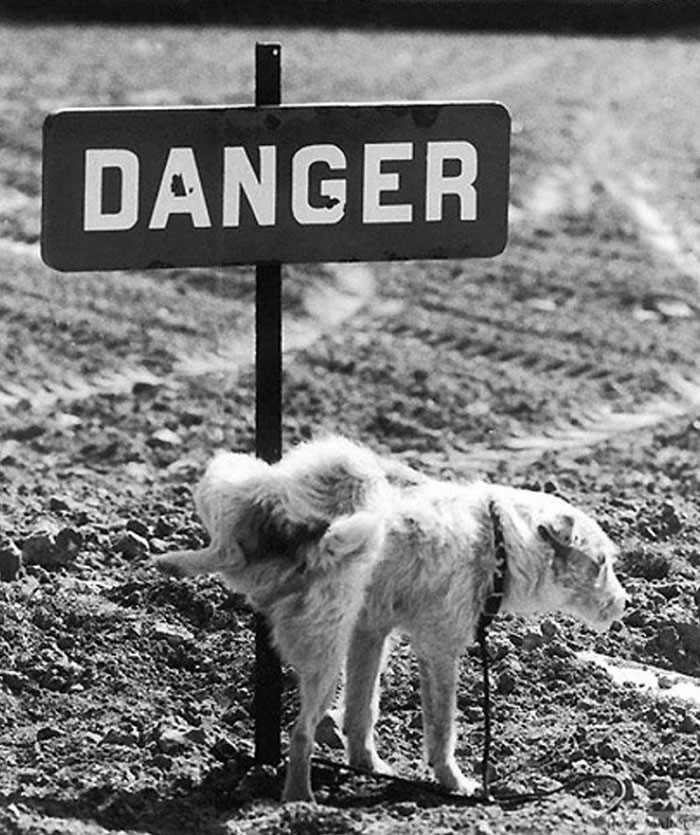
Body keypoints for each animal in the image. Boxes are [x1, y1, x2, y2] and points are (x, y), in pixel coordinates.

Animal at [154, 434, 628, 800]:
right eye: (601, 563)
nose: (624, 606)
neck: (500, 543)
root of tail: (300, 545)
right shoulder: (439, 649)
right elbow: (442, 727)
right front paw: (454, 783)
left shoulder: (370, 633)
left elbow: (361, 710)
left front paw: (366, 764)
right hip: (346, 509)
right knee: (301, 733)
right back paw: (298, 802)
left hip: (249, 494)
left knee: (227, 549)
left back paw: (174, 562)